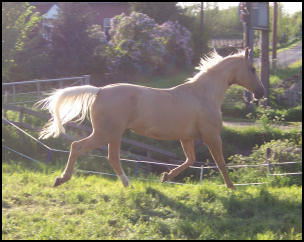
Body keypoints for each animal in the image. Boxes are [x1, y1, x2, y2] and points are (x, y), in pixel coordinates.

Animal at [35, 47, 264, 189]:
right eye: (253, 69)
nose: (260, 93)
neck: (203, 94)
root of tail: (99, 91)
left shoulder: (186, 137)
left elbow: (190, 160)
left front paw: (165, 177)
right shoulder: (211, 136)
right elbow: (220, 162)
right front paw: (232, 188)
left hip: (112, 135)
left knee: (111, 158)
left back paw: (127, 184)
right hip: (106, 133)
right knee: (79, 147)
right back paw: (62, 179)